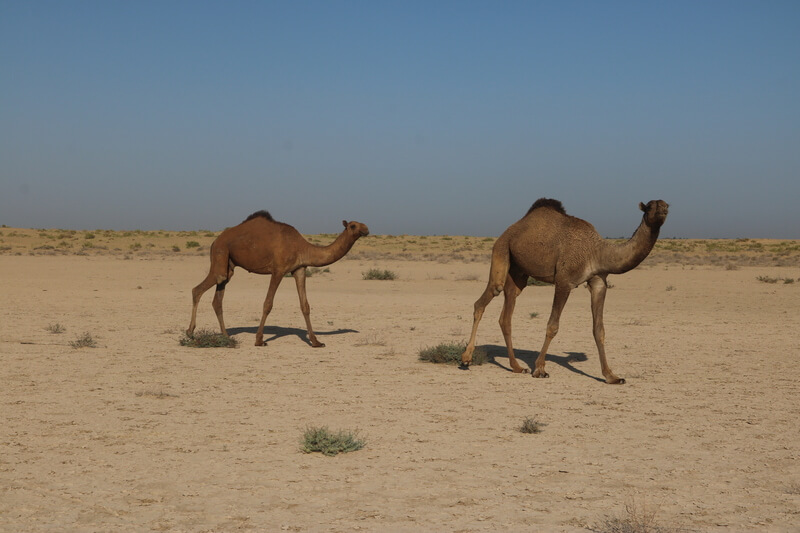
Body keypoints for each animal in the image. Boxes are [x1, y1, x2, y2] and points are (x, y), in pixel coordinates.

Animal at [189, 210, 370, 348]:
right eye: (353, 225)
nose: (366, 229)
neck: (302, 247)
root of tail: (215, 240)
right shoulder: (278, 270)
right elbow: (268, 303)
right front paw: (259, 340)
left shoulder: (299, 269)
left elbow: (305, 306)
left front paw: (316, 341)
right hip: (220, 253)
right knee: (198, 288)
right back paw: (190, 332)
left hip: (229, 266)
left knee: (217, 299)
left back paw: (226, 336)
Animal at [456, 198, 668, 382]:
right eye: (650, 206)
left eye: (666, 204)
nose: (663, 210)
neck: (596, 251)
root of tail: (507, 231)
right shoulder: (564, 281)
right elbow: (553, 326)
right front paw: (540, 369)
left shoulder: (598, 282)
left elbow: (599, 329)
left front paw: (611, 376)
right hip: (501, 250)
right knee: (488, 295)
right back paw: (466, 359)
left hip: (518, 273)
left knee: (506, 315)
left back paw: (516, 366)